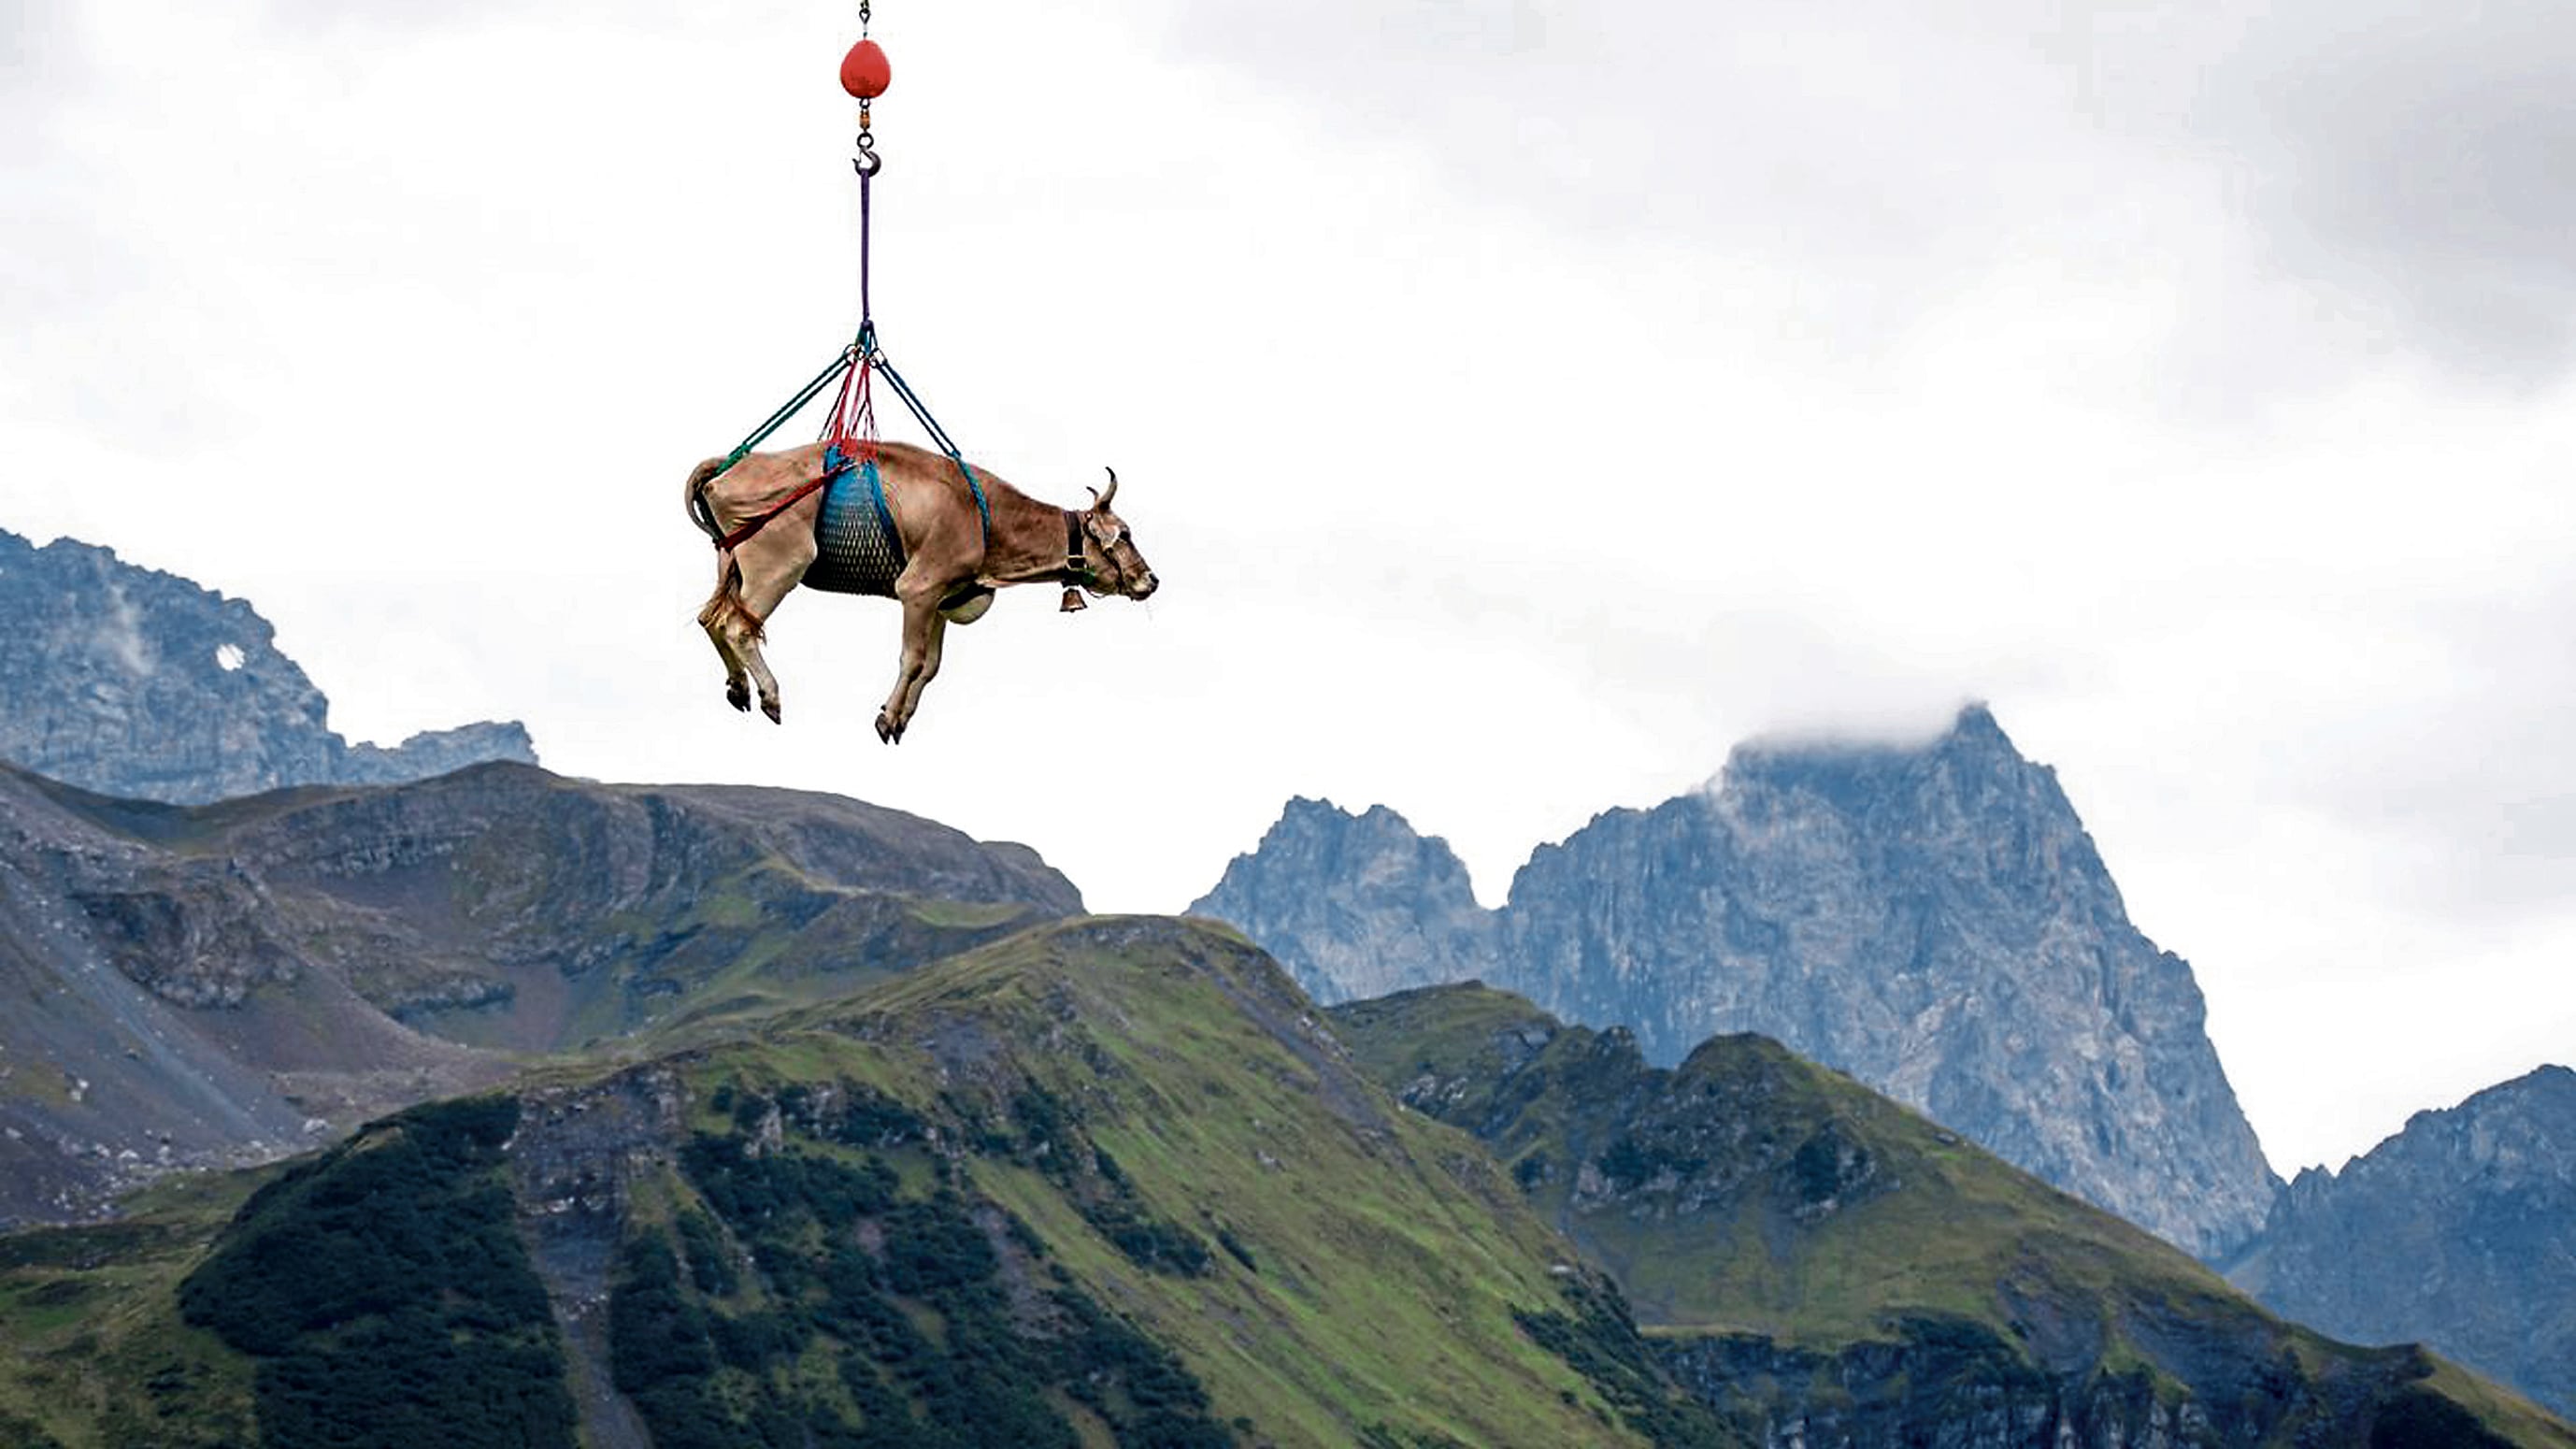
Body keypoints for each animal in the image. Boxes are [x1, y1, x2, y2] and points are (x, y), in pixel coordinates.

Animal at [685, 439, 1158, 743]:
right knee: (738, 627)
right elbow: (911, 659)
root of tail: (731, 465)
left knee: (710, 619)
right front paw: (887, 718)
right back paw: (769, 695)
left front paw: (899, 719)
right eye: (1127, 534)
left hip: (731, 566)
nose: (1151, 579)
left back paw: (738, 687)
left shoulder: (943, 601)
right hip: (779, 563)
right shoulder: (919, 588)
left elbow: (930, 667)